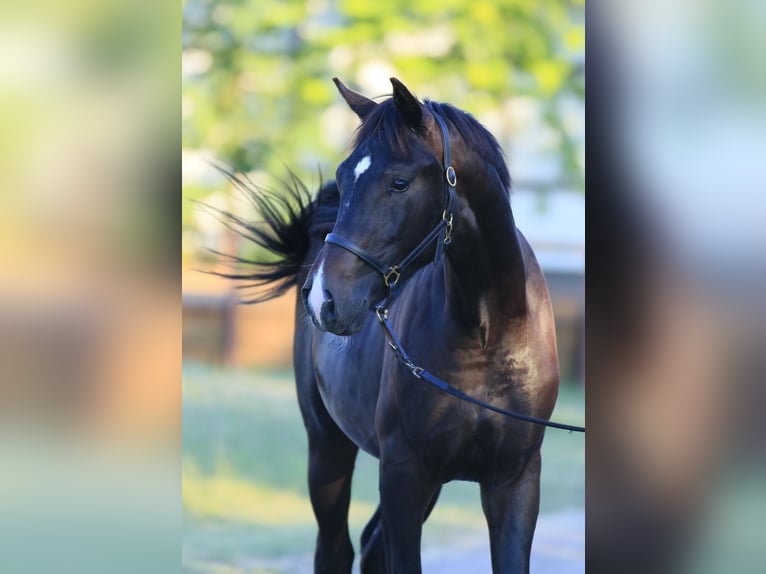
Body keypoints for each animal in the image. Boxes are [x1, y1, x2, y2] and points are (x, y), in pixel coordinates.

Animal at [219, 77, 560, 574]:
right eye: (343, 178)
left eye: (399, 182)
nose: (324, 298)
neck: (488, 332)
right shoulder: (403, 473)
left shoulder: (515, 481)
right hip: (328, 446)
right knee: (337, 549)